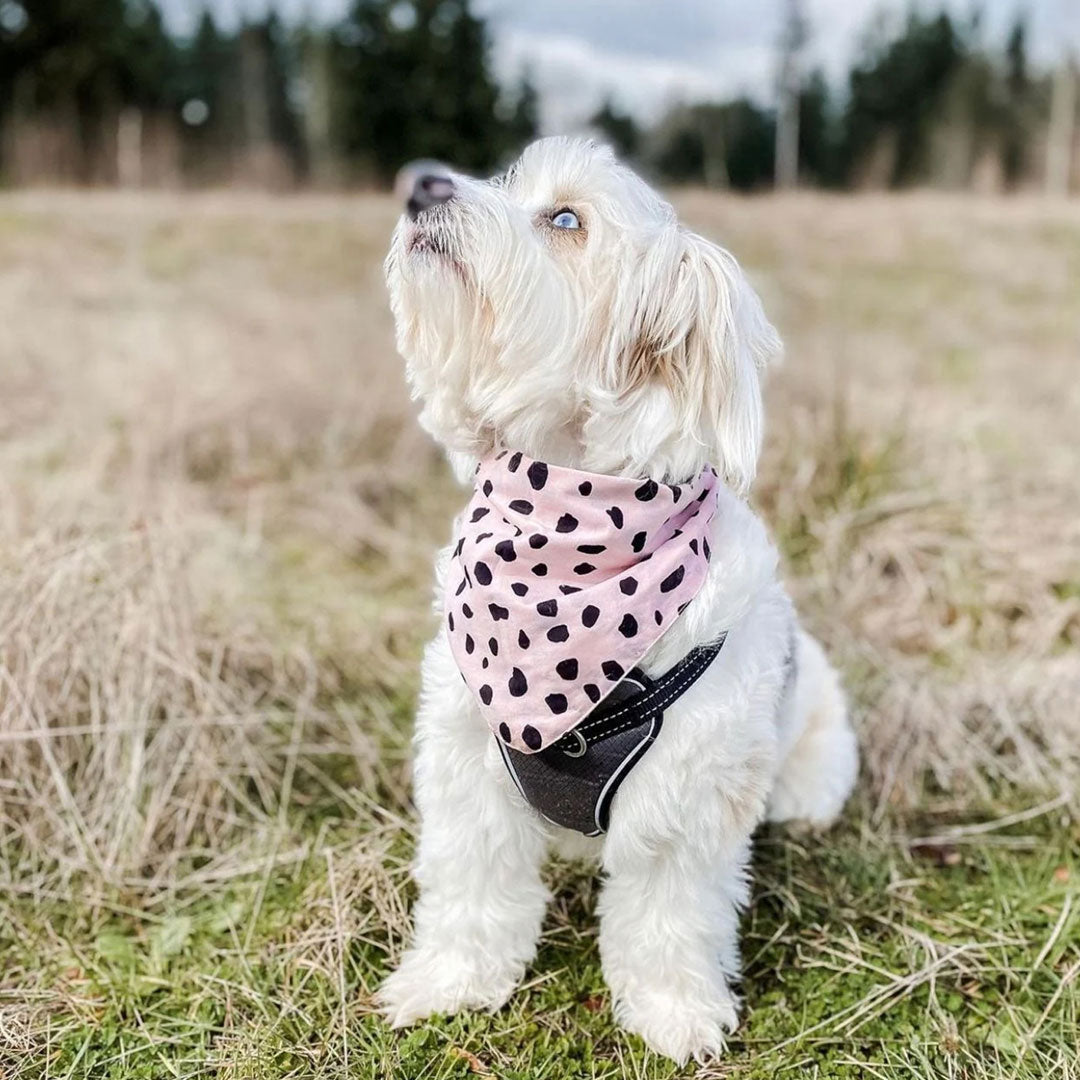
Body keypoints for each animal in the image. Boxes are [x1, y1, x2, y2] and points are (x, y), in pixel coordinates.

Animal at [380, 137, 859, 1062]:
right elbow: (470, 891)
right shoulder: (465, 767)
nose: (420, 184)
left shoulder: (688, 804)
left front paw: (674, 1014)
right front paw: (450, 983)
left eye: (565, 218)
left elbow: (668, 924)